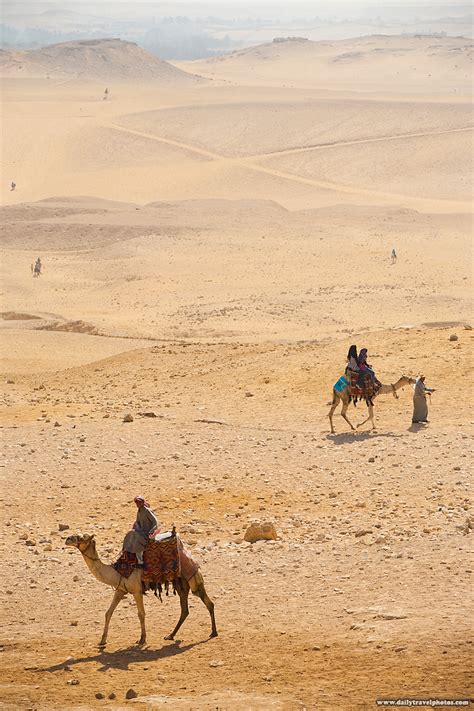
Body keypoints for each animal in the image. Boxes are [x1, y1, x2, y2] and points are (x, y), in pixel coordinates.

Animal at [65, 536, 217, 644]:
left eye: (81, 538)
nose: (67, 539)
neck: (117, 571)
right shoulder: (120, 590)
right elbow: (108, 613)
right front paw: (102, 641)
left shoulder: (137, 591)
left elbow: (141, 614)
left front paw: (142, 639)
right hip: (181, 585)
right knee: (185, 610)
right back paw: (170, 635)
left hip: (193, 580)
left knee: (208, 603)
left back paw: (213, 632)